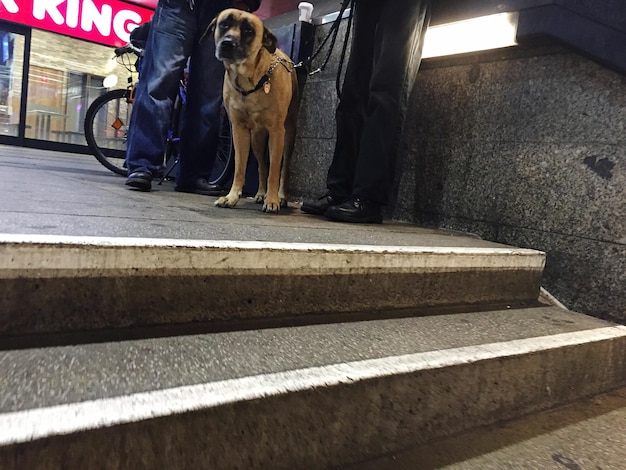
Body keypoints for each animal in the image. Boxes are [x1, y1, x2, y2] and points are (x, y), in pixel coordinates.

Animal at [201, 8, 296, 213]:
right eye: (224, 24)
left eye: (248, 30)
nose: (227, 43)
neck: (249, 81)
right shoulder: (239, 130)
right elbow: (239, 167)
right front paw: (232, 196)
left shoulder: (277, 132)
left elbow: (275, 170)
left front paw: (272, 200)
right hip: (257, 140)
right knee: (261, 165)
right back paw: (260, 193)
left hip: (289, 135)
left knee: (284, 168)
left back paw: (281, 196)